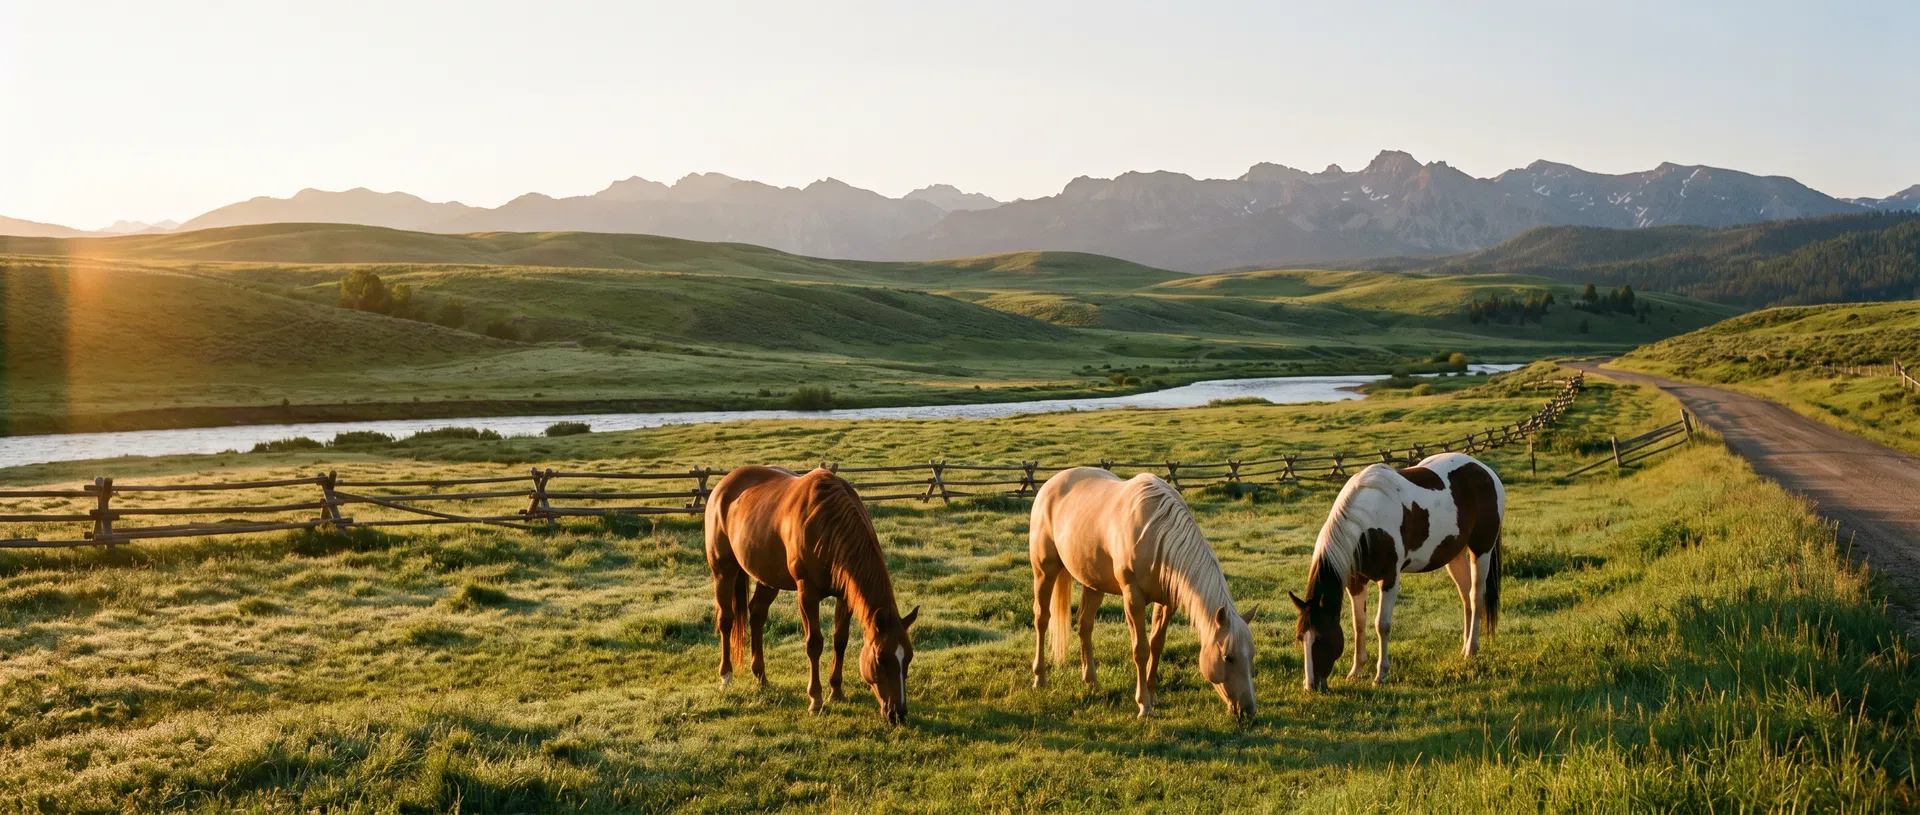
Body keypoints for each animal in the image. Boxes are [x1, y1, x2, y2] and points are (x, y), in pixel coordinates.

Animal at [705, 465, 918, 722]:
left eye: (908, 657)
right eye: (881, 659)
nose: (898, 714)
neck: (827, 523)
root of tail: (723, 485)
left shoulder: (845, 595)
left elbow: (840, 640)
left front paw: (836, 692)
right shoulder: (807, 593)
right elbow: (814, 643)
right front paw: (816, 700)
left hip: (768, 578)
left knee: (757, 614)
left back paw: (761, 677)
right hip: (723, 571)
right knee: (726, 620)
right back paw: (726, 677)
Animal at [1029, 466, 1258, 719]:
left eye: (1251, 656)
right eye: (1228, 657)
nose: (1248, 710)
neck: (1157, 534)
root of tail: (1050, 484)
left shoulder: (1167, 602)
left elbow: (1156, 645)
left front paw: (1153, 695)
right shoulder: (1133, 598)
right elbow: (1141, 649)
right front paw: (1144, 706)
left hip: (1093, 583)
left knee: (1084, 624)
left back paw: (1092, 682)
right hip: (1044, 571)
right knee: (1042, 618)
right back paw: (1040, 679)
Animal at [1290, 452, 1504, 692]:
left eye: (1321, 639)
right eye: (1300, 638)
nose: (1310, 686)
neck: (1368, 524)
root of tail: (1486, 471)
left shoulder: (1389, 578)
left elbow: (1381, 624)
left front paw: (1380, 675)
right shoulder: (1356, 581)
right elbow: (1358, 624)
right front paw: (1356, 671)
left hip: (1482, 549)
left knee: (1476, 597)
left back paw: (1471, 649)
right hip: (1455, 556)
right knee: (1466, 597)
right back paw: (1464, 648)